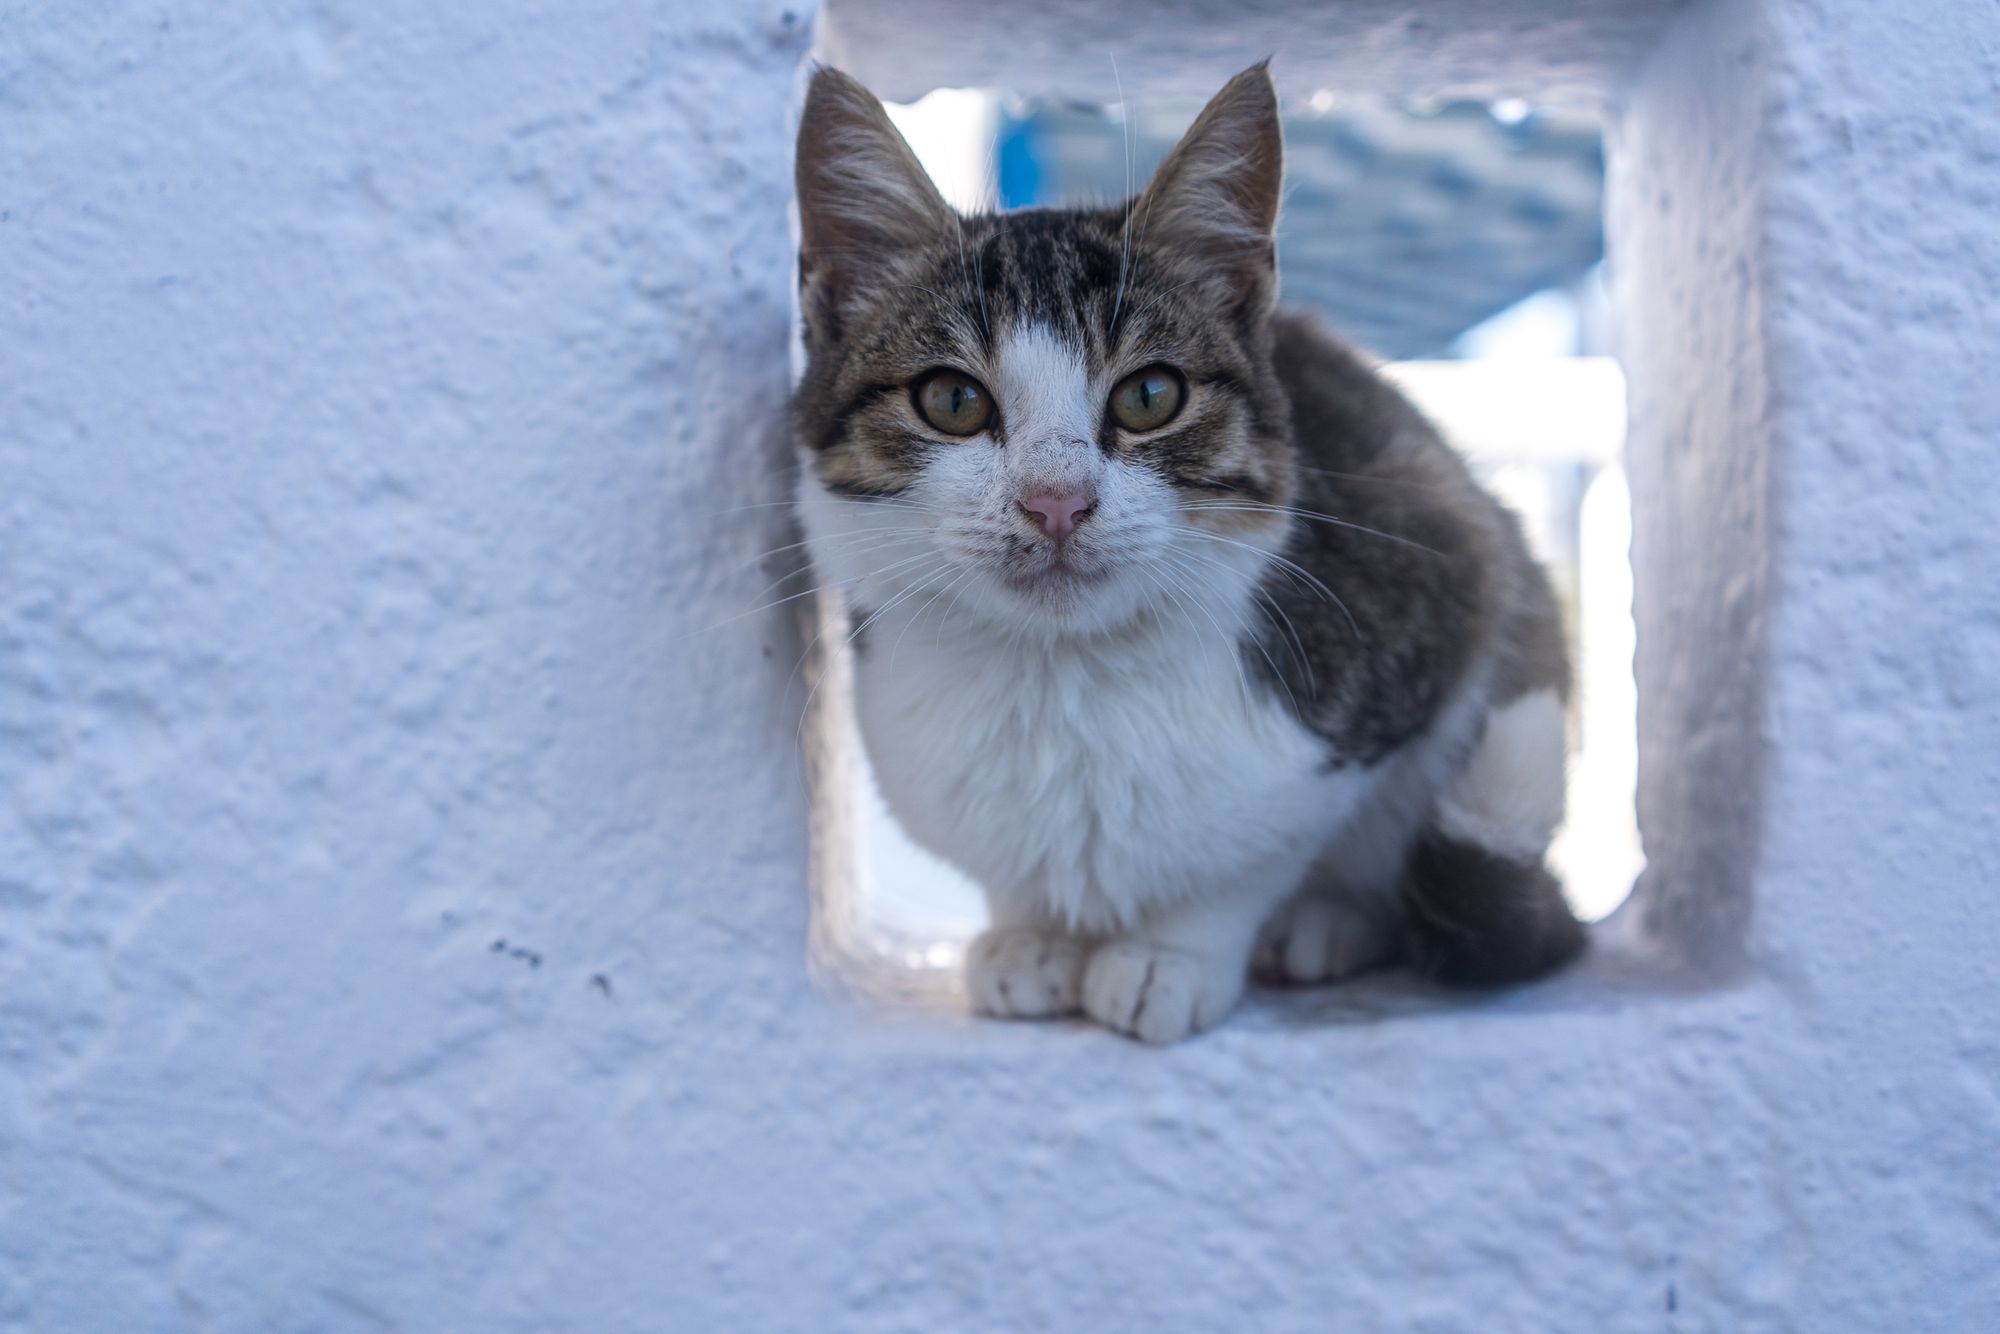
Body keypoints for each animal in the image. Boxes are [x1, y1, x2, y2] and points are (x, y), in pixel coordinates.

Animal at [788, 62, 1584, 1040]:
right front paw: (1031, 935)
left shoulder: (1443, 565)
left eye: (1150, 395)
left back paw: (1328, 922)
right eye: (950, 400)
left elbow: (1257, 853)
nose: (1057, 501)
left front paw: (1172, 953)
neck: (1060, 676)